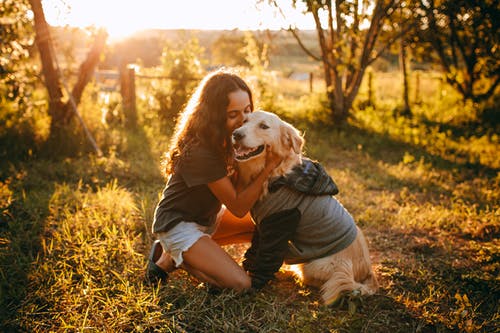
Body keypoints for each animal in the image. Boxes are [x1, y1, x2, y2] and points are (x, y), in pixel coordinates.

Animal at [232, 109, 376, 304]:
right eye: (244, 121)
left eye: (264, 126)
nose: (236, 134)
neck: (276, 175)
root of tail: (368, 271)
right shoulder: (263, 226)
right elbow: (254, 250)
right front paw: (246, 267)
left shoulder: (280, 222)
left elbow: (266, 259)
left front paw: (254, 284)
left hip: (317, 265)